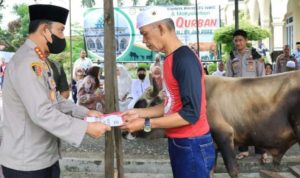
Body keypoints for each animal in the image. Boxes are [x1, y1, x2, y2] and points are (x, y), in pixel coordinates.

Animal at [126, 70, 300, 177]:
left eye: (143, 104)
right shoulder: (212, 144)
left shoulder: (224, 135)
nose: (124, 131)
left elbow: (233, 170)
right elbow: (210, 171)